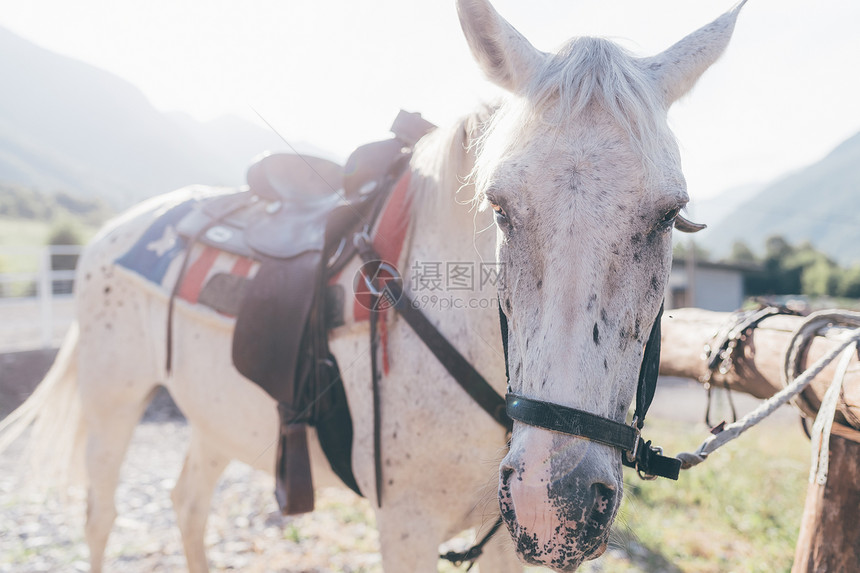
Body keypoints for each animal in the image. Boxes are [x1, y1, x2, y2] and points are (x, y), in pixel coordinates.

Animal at [0, 1, 744, 572]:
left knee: (187, 502)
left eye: (668, 215)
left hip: (214, 415)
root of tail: (111, 235)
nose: (554, 497)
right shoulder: (406, 525)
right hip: (112, 402)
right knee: (102, 515)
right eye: (500, 207)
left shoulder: (508, 537)